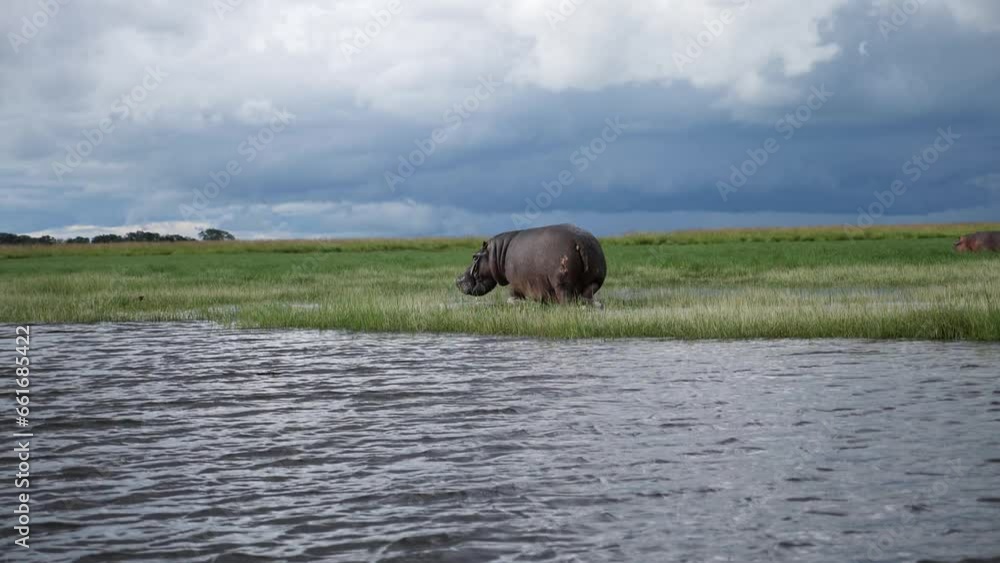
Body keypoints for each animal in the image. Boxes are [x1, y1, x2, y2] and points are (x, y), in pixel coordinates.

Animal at [455, 224, 607, 307]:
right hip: (595, 280)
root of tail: (579, 242)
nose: (457, 280)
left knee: (567, 300)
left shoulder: (515, 283)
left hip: (562, 284)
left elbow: (513, 296)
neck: (498, 254)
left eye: (474, 256)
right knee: (588, 295)